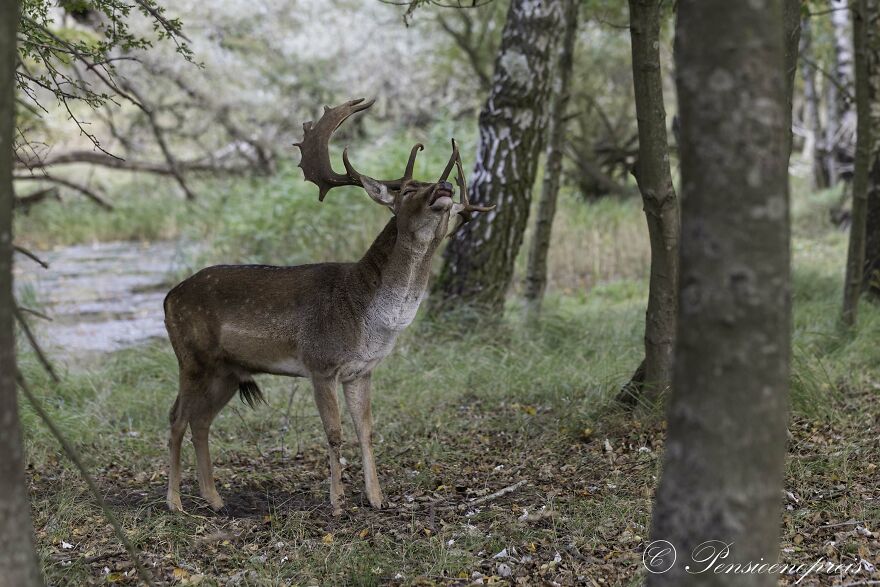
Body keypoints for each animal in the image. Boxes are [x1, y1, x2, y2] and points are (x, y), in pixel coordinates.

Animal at [164, 98, 492, 515]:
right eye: (406, 190)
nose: (445, 187)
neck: (365, 316)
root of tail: (167, 298)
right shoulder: (320, 363)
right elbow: (334, 433)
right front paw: (337, 503)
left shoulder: (361, 371)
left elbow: (366, 431)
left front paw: (377, 499)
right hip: (192, 357)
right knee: (176, 418)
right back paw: (175, 502)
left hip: (227, 371)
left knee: (201, 420)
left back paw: (215, 498)